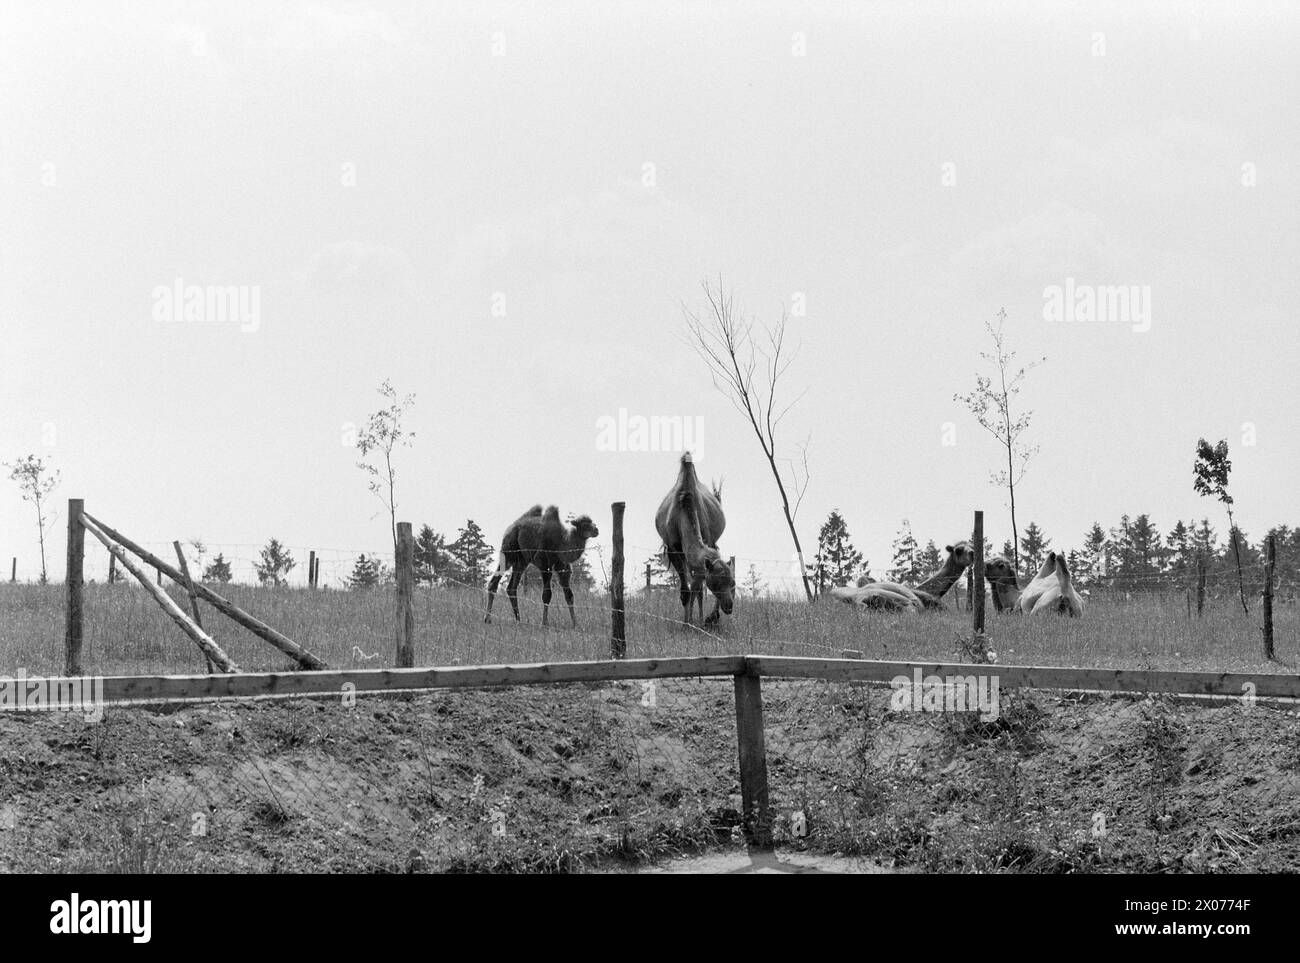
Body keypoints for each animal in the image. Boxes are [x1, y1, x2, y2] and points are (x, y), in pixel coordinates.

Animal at [655, 449, 738, 623]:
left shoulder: (709, 540)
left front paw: (703, 620)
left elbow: (698, 588)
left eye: (732, 582)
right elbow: (687, 590)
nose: (729, 606)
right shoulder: (673, 548)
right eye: (716, 583)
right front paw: (687, 623)